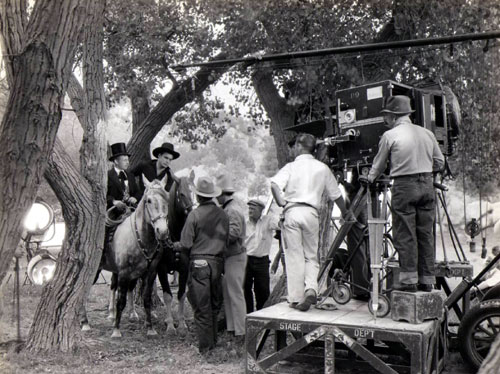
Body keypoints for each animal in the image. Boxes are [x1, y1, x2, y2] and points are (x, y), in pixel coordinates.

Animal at [79, 174, 170, 338]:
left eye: (167, 197)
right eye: (149, 200)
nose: (162, 231)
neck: (140, 237)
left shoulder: (150, 272)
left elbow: (147, 299)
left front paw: (150, 328)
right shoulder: (124, 273)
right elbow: (121, 301)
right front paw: (116, 330)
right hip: (94, 270)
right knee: (83, 291)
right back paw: (85, 322)